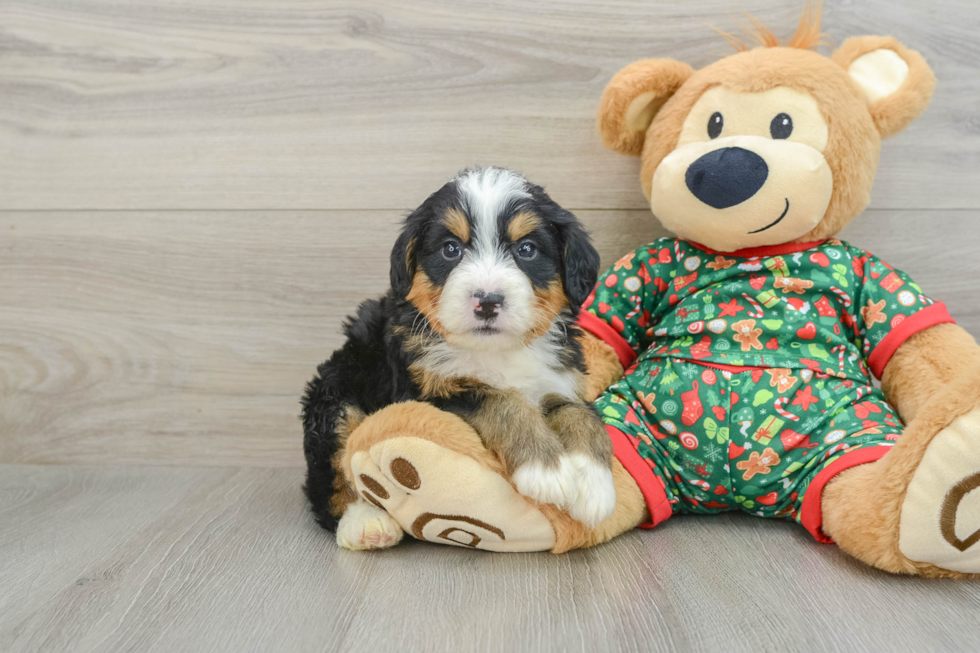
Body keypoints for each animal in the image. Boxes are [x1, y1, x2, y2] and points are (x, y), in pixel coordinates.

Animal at [302, 166, 616, 548]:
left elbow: (581, 416)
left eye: (526, 249)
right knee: (330, 478)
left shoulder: (562, 380)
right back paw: (365, 522)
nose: (488, 300)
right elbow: (501, 400)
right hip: (335, 395)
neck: (496, 351)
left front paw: (594, 485)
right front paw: (545, 470)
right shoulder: (427, 390)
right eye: (451, 249)